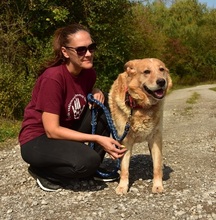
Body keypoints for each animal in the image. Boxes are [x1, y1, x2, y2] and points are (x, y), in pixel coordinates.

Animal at [109, 58, 173, 194]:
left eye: (161, 69)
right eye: (146, 71)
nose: (161, 81)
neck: (140, 106)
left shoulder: (155, 138)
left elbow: (157, 166)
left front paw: (157, 185)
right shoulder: (125, 141)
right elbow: (124, 168)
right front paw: (122, 186)